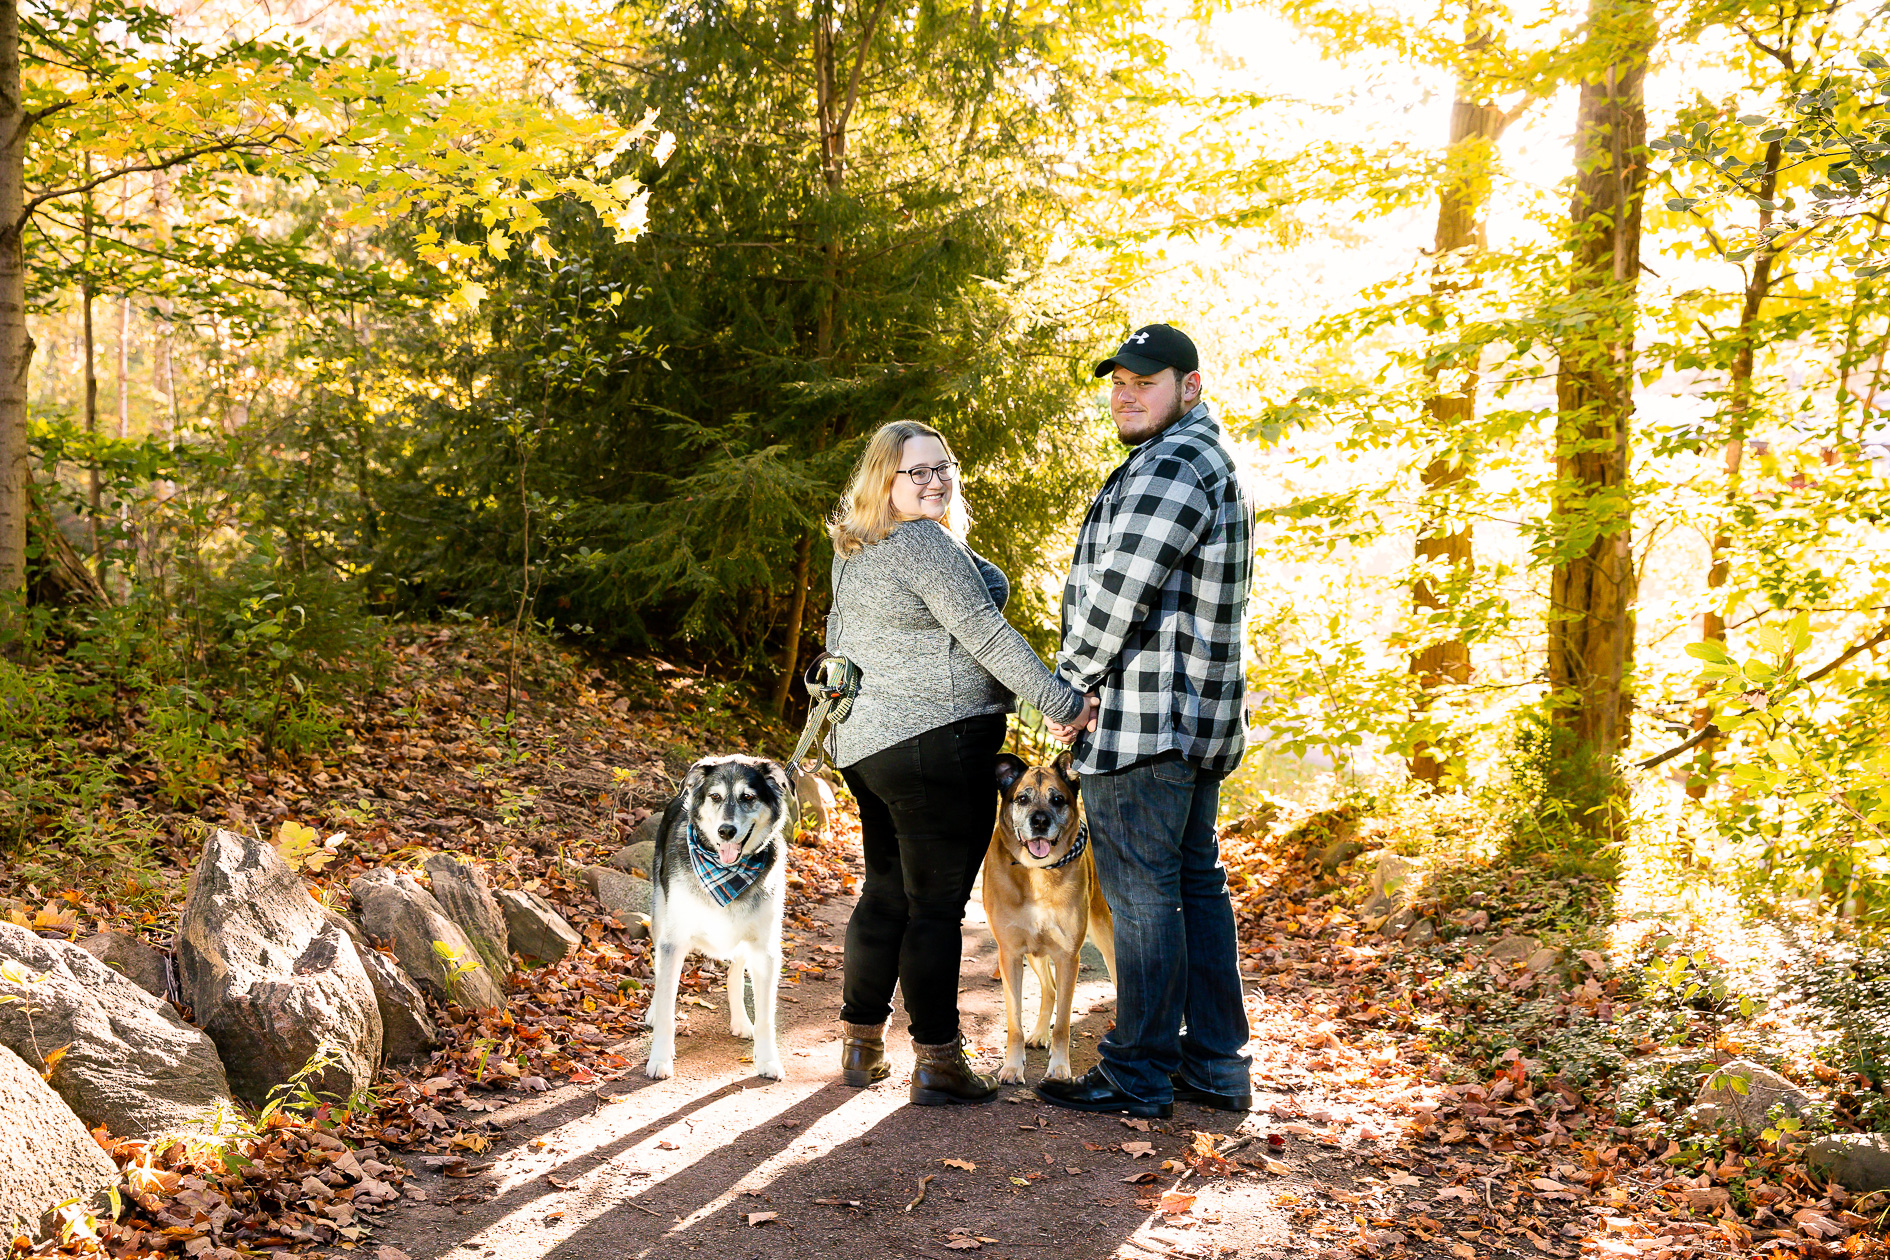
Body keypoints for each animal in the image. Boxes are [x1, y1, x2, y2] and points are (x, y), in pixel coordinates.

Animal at [642, 755, 790, 1080]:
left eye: (748, 797)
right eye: (715, 797)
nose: (726, 831)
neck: (725, 872)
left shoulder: (765, 951)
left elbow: (766, 1017)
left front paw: (768, 1060)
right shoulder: (673, 942)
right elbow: (667, 1008)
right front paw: (660, 1059)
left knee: (734, 975)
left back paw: (741, 1021)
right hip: (660, 919)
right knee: (659, 975)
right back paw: (653, 1010)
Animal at [982, 748, 1111, 1088]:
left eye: (1057, 799)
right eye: (1022, 798)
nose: (1039, 821)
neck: (1037, 873)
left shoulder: (1068, 956)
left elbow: (1064, 1023)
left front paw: (1059, 1068)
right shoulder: (1010, 954)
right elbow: (1014, 1021)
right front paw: (1012, 1067)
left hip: (1106, 934)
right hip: (1036, 953)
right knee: (1049, 990)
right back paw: (1040, 1034)